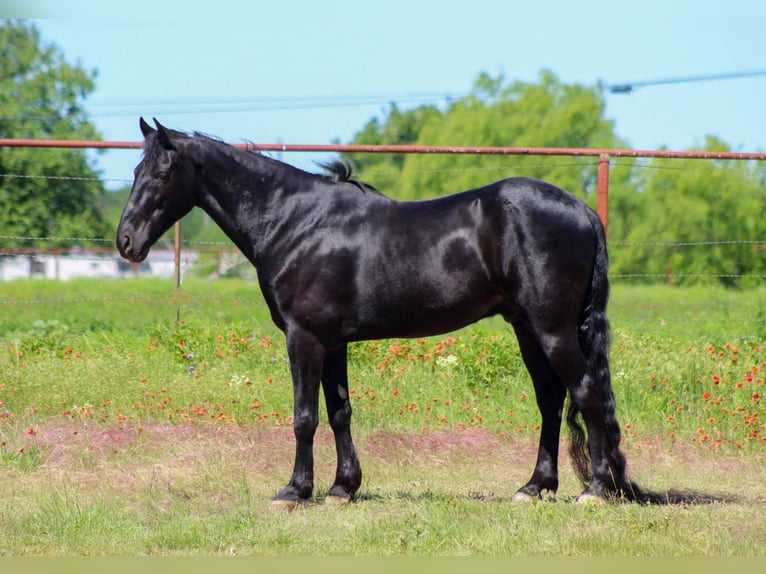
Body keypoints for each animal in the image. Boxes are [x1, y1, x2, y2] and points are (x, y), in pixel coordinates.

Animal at [116, 118, 696, 506]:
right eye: (135, 169)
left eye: (161, 174)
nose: (126, 242)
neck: (296, 222)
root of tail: (581, 210)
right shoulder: (332, 342)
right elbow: (339, 412)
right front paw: (342, 488)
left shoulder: (304, 338)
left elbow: (305, 417)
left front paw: (295, 491)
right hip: (529, 329)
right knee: (552, 400)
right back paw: (534, 487)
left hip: (552, 329)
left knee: (587, 392)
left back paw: (594, 489)